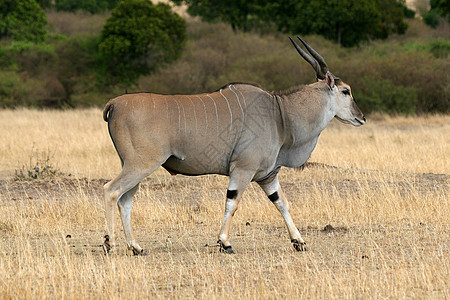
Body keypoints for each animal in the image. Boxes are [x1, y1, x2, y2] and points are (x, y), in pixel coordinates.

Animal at [103, 36, 366, 254]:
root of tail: (114, 104)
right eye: (346, 91)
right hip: (140, 165)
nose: (361, 117)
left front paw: (298, 241)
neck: (279, 113)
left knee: (125, 200)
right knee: (111, 191)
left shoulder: (268, 176)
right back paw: (110, 244)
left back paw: (136, 247)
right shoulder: (242, 170)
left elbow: (282, 203)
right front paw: (225, 243)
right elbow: (233, 202)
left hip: (134, 166)